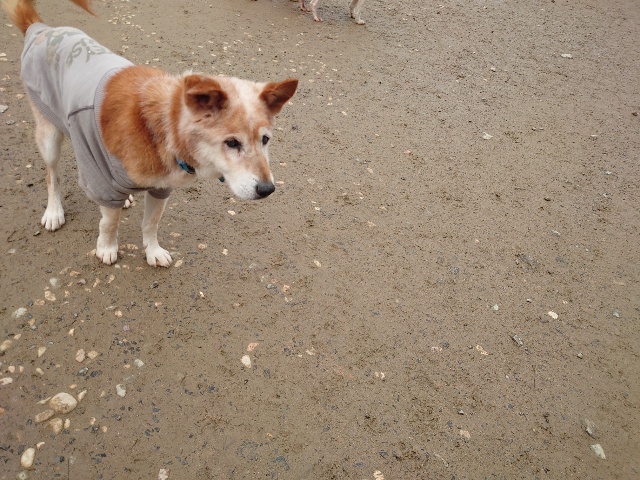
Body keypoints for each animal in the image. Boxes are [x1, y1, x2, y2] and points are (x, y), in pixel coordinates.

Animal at [2, 0, 298, 267]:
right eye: (232, 142)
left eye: (265, 140)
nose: (267, 189)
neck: (162, 131)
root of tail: (42, 28)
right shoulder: (102, 183)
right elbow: (109, 223)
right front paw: (106, 247)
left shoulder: (161, 187)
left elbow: (151, 224)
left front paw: (153, 251)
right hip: (50, 135)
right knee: (52, 175)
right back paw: (54, 211)